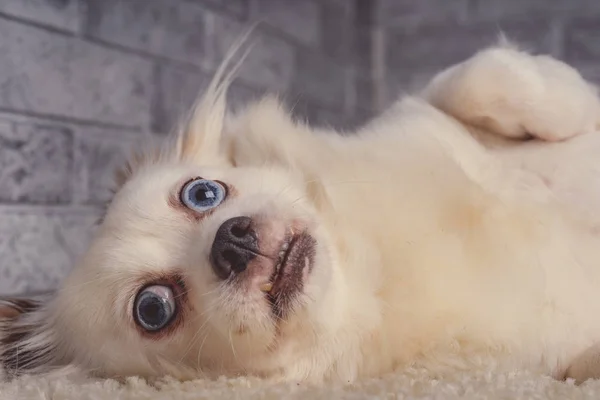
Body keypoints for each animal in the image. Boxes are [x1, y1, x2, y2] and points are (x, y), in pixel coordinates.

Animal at [1, 39, 600, 384]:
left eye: (201, 194)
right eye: (153, 309)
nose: (233, 241)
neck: (369, 261)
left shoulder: (435, 108)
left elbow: (483, 77)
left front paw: (578, 103)